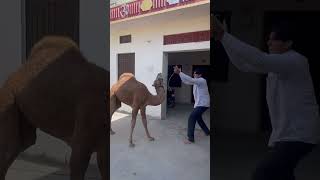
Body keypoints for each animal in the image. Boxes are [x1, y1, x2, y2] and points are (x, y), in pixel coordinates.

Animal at [0, 35, 109, 179]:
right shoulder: (88, 119)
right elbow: (78, 160)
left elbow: (104, 165)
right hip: (9, 98)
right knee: (10, 148)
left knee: (23, 143)